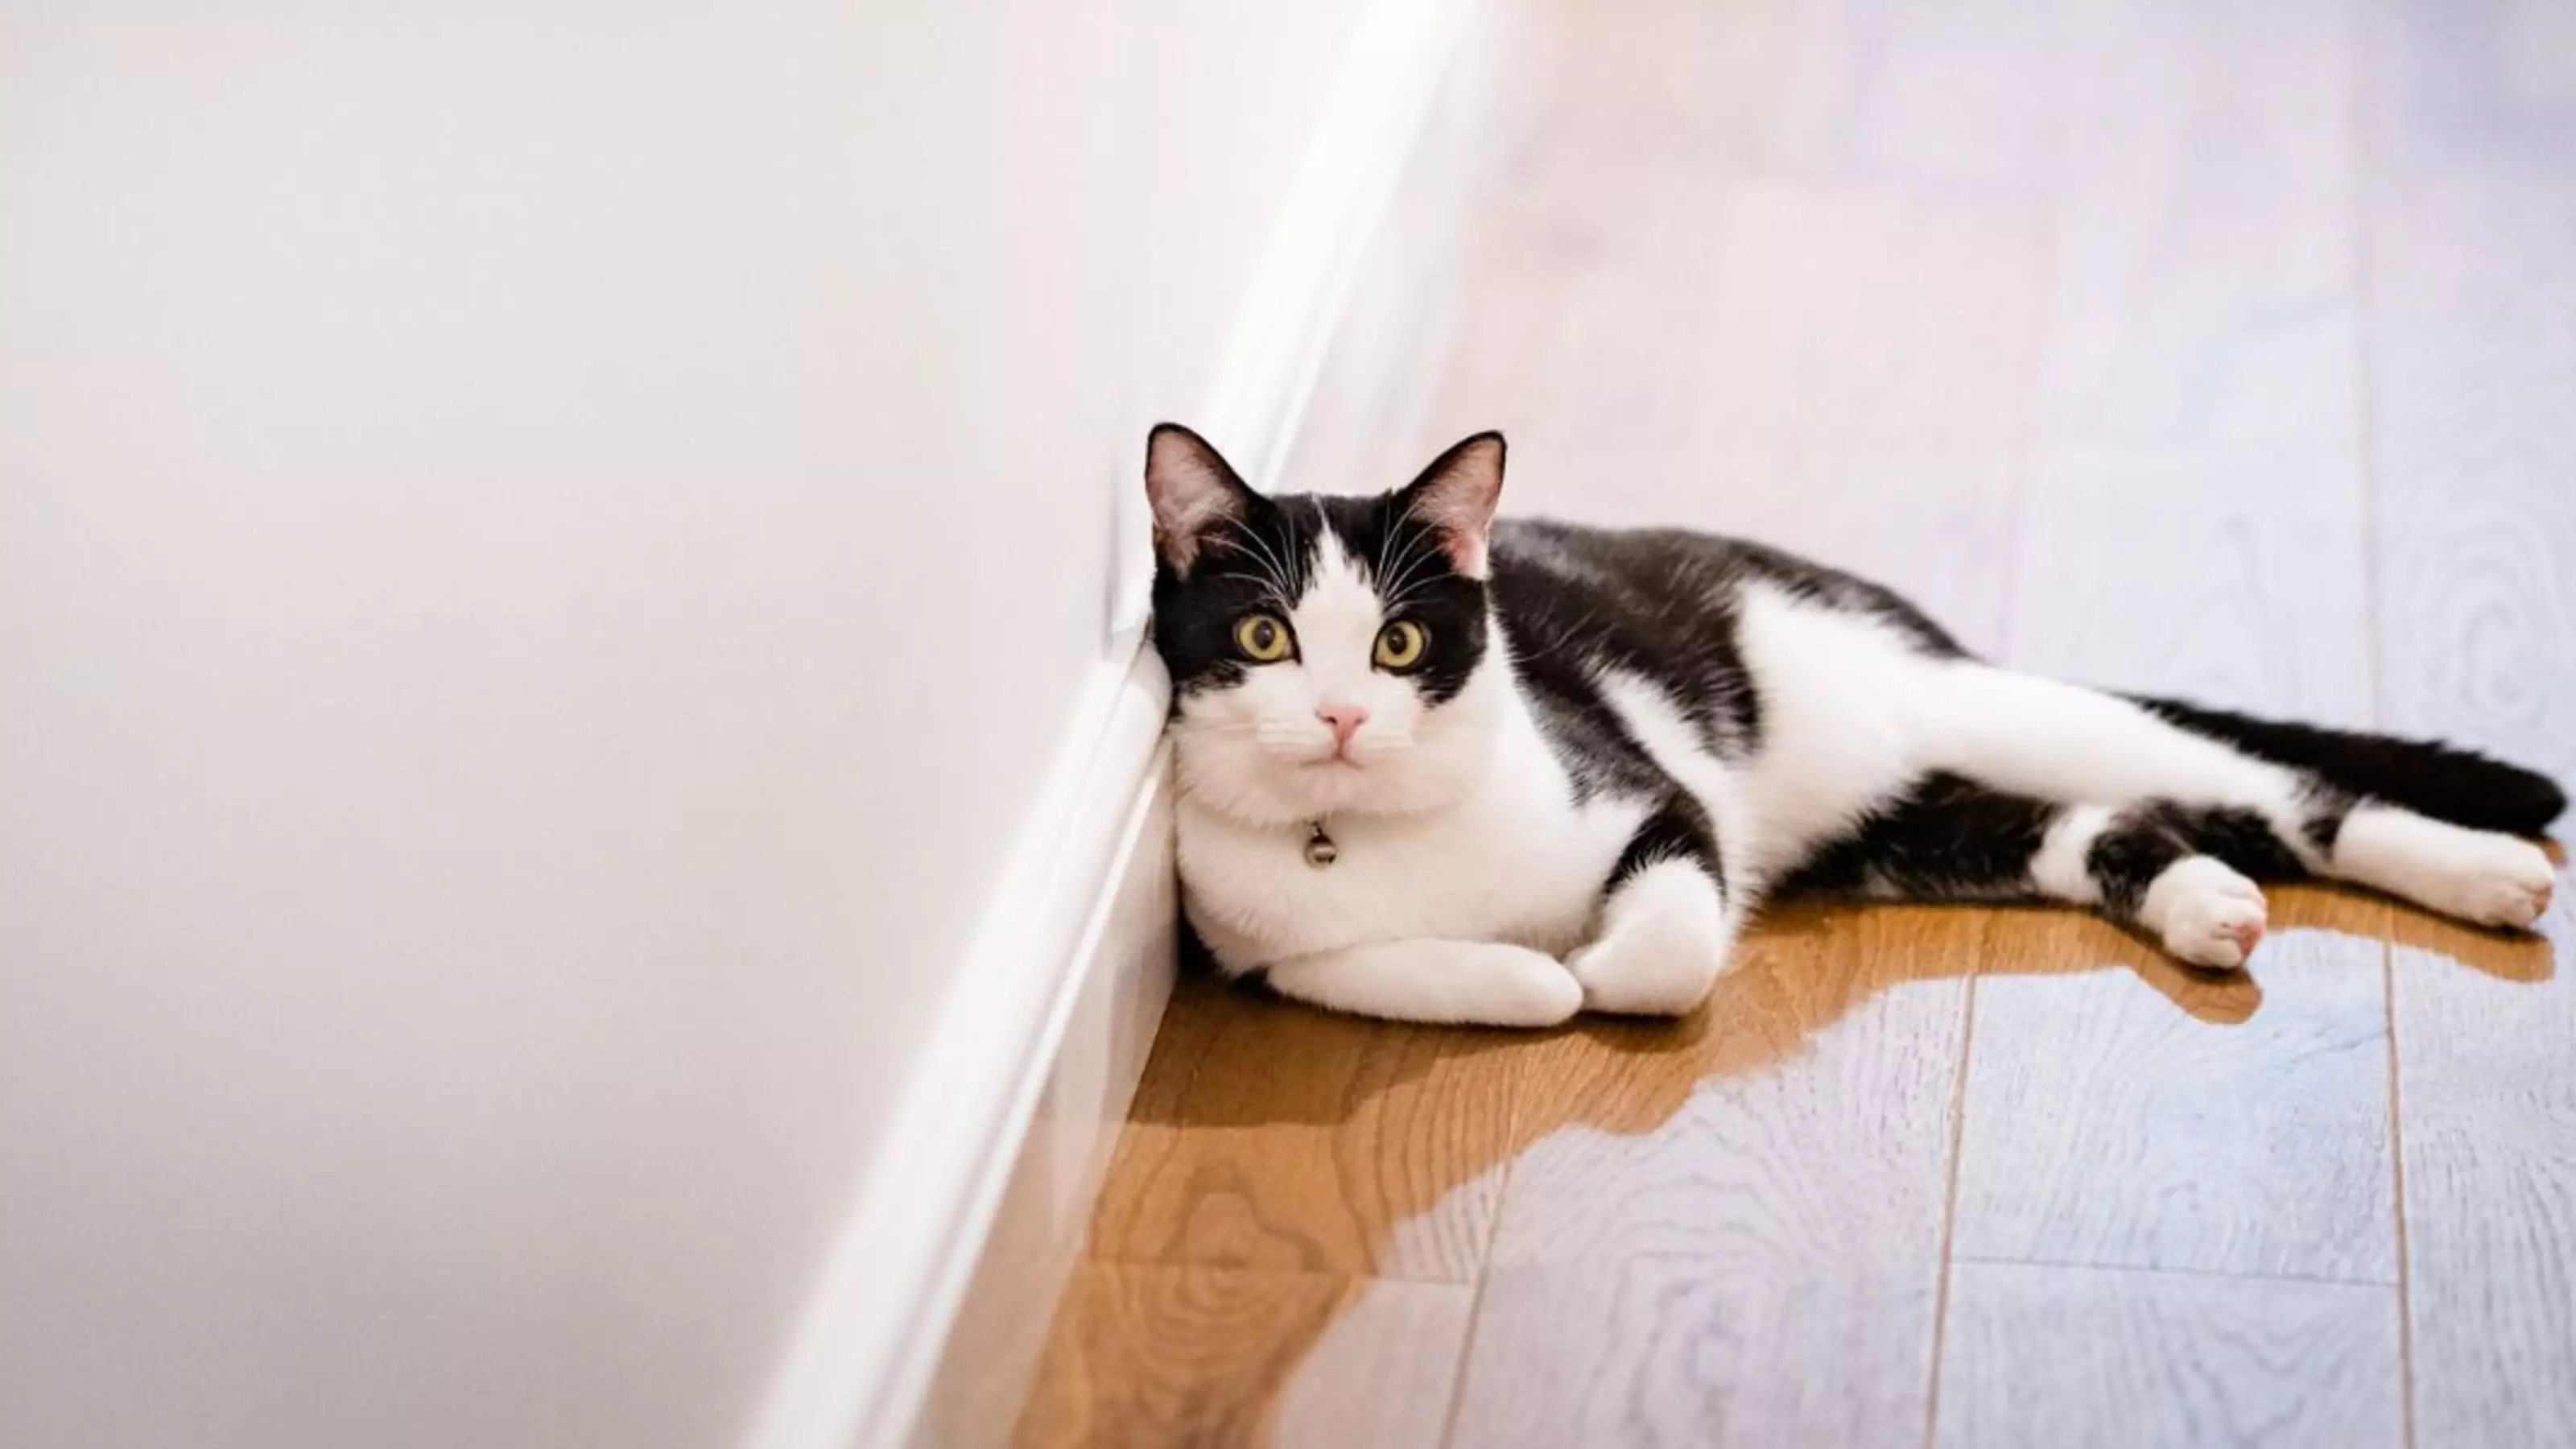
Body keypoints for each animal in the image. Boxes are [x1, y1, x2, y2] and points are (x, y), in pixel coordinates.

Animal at [1138, 420, 2566, 1026]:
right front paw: (1537, 974)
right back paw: (2204, 904)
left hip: (1979, 705)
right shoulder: (1259, 946)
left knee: (2280, 793)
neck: (1371, 831)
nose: (1338, 716)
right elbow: (1389, 970)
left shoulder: (1655, 796)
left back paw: (2490, 872)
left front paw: (1600, 963)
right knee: (2088, 825)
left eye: (1399, 643)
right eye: (1263, 638)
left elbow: (1671, 942)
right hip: (1896, 831)